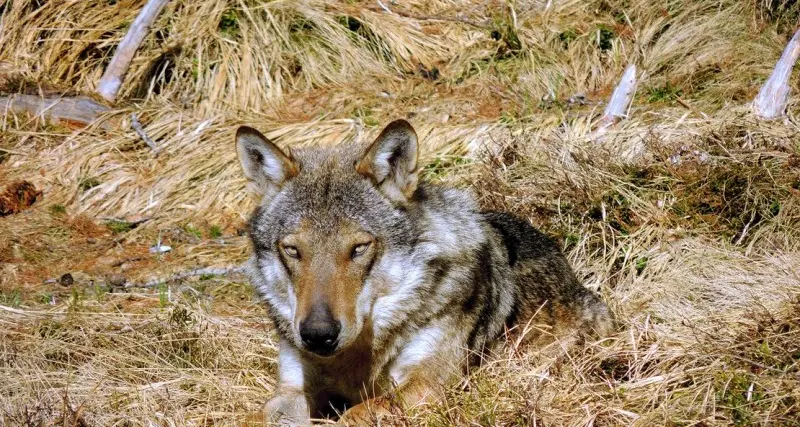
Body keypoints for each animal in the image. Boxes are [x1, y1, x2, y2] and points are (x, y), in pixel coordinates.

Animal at [235, 120, 613, 425]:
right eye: (293, 250)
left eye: (359, 248)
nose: (317, 335)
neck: (354, 359)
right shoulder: (291, 388)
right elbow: (259, 416)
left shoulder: (426, 383)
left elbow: (356, 414)